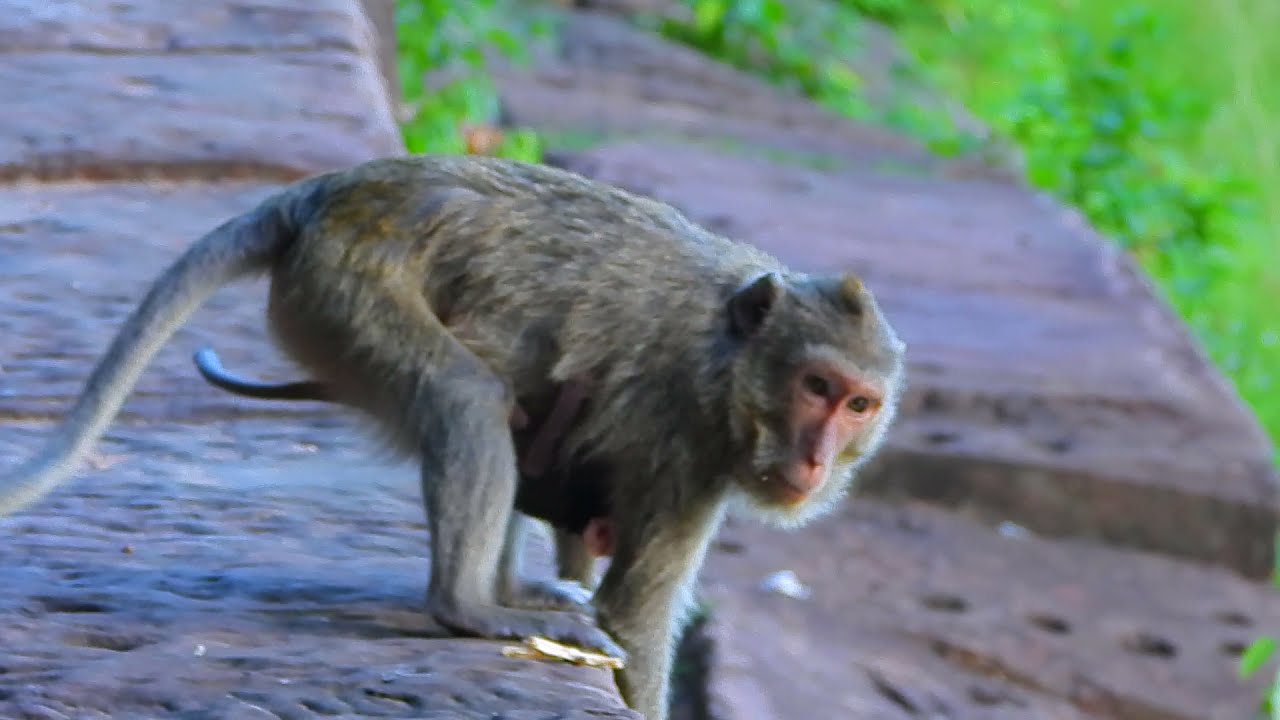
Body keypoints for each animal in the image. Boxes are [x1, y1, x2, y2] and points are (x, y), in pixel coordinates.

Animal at [0, 154, 906, 720]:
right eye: (815, 387)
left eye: (859, 403)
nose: (817, 458)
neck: (729, 358)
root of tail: (327, 193)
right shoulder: (684, 438)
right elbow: (637, 618)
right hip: (347, 287)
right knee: (469, 399)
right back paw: (469, 608)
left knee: (510, 409)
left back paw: (512, 590)